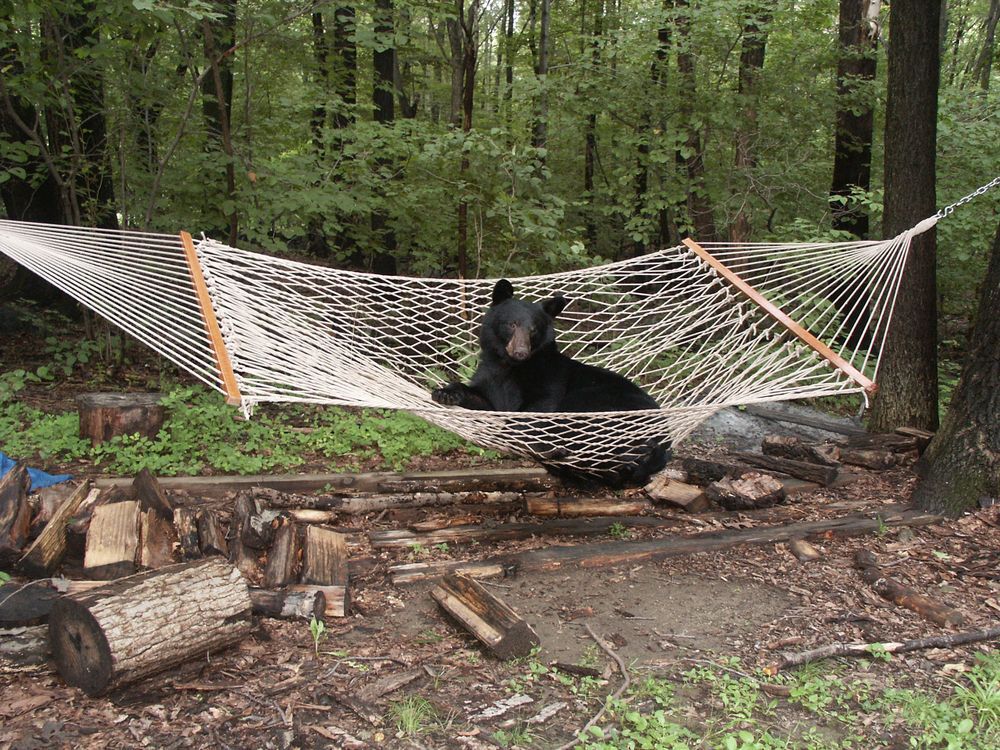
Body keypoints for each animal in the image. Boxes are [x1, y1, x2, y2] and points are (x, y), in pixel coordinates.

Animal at [431, 279, 670, 487]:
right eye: (512, 324)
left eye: (533, 329)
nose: (521, 352)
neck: (510, 366)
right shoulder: (490, 376)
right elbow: (483, 399)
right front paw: (445, 393)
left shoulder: (549, 378)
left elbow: (536, 408)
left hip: (598, 401)